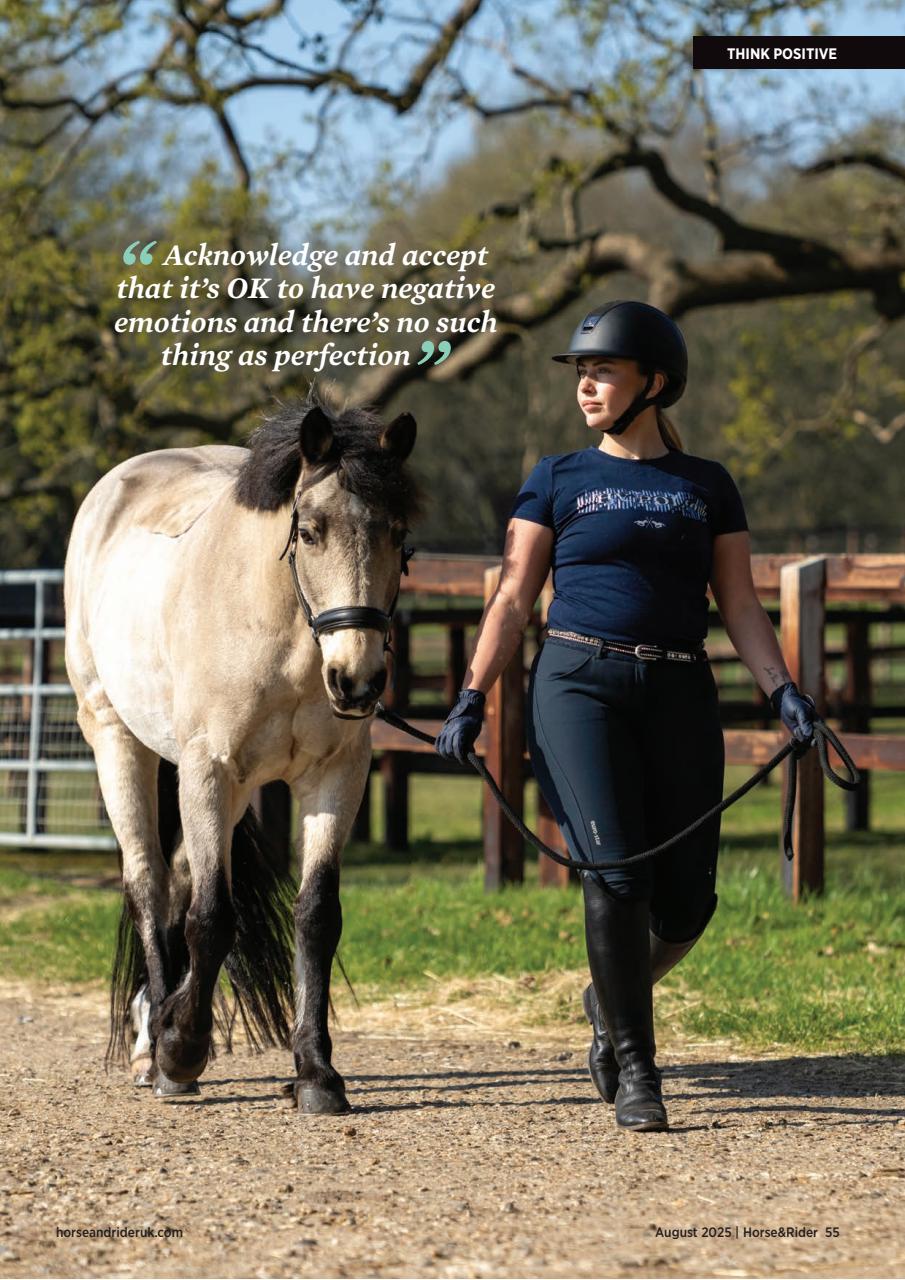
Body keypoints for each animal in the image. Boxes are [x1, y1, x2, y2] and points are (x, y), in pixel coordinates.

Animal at [64, 393, 420, 1113]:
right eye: (309, 530)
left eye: (398, 534)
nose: (357, 680)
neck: (282, 630)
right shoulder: (209, 771)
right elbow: (211, 917)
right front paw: (179, 1051)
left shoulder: (335, 777)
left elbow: (316, 917)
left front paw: (316, 1072)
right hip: (117, 739)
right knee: (149, 885)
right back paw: (153, 1047)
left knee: (175, 880)